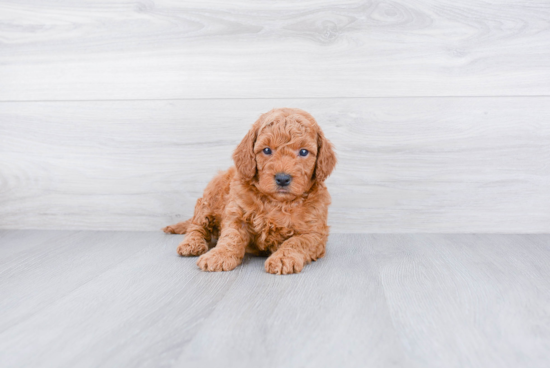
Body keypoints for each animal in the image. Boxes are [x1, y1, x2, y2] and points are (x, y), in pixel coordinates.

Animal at [162, 106, 338, 274]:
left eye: (303, 152)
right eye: (266, 150)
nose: (282, 178)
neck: (277, 202)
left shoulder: (314, 233)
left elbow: (296, 242)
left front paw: (282, 259)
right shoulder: (236, 214)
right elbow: (231, 237)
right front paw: (219, 255)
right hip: (208, 200)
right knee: (196, 226)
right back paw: (191, 243)